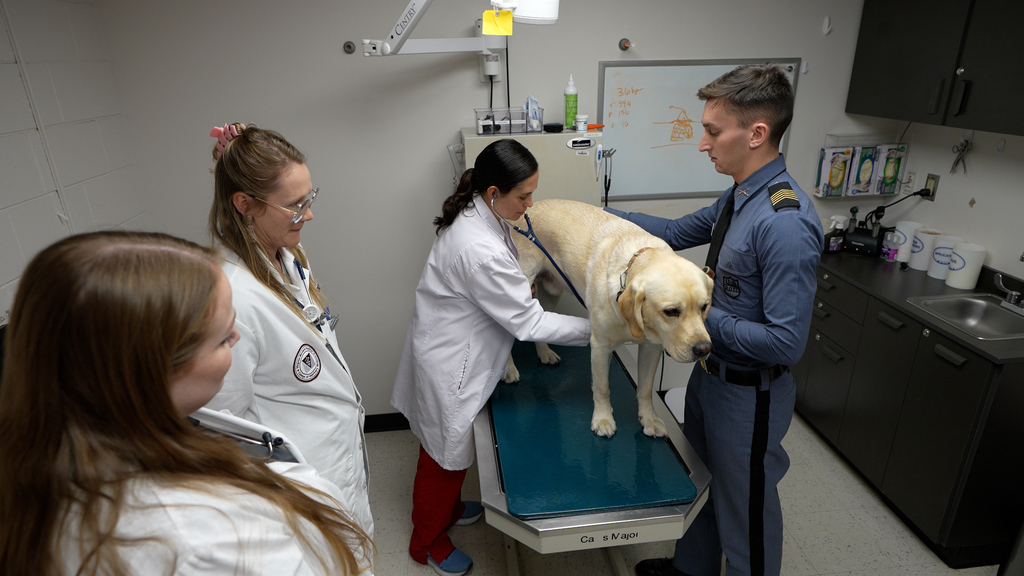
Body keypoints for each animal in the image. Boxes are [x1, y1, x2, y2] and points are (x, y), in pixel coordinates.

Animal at [503, 196, 712, 434]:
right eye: (671, 311)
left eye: (704, 306)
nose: (704, 349)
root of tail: (530, 209)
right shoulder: (600, 346)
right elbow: (602, 388)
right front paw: (603, 420)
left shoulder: (652, 348)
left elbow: (646, 389)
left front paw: (649, 419)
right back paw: (509, 368)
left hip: (552, 291)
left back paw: (544, 352)